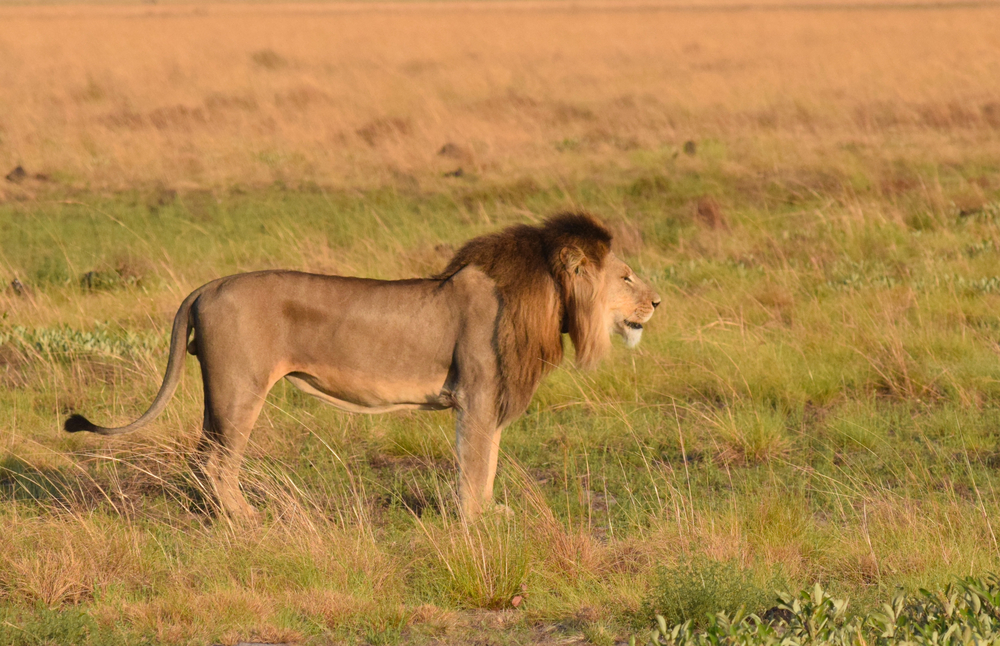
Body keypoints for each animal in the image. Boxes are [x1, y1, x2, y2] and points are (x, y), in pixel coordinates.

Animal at [68, 215, 664, 520]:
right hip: (238, 390)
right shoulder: (475, 397)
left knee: (205, 459)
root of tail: (207, 285)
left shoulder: (487, 401)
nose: (658, 303)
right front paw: (475, 525)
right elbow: (475, 465)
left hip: (223, 394)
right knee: (214, 462)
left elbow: (490, 463)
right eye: (627, 277)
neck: (543, 300)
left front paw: (492, 515)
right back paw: (248, 520)